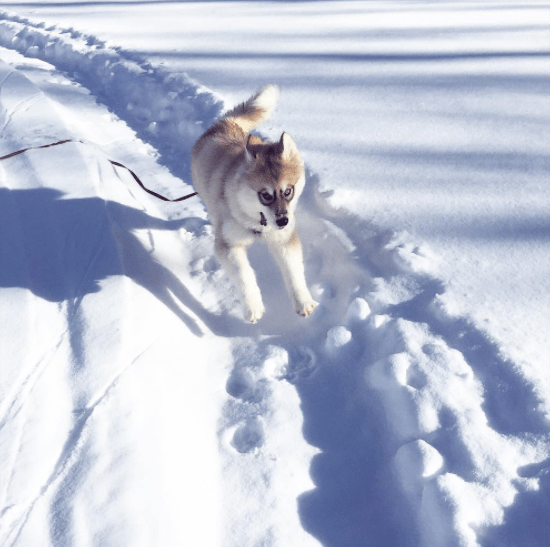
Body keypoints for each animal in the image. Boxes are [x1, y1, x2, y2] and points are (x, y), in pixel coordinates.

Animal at [192, 85, 316, 324]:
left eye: (288, 191)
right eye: (265, 195)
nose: (283, 221)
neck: (259, 224)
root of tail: (226, 123)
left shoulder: (285, 240)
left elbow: (294, 271)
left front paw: (303, 301)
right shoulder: (228, 244)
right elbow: (244, 274)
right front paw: (253, 307)